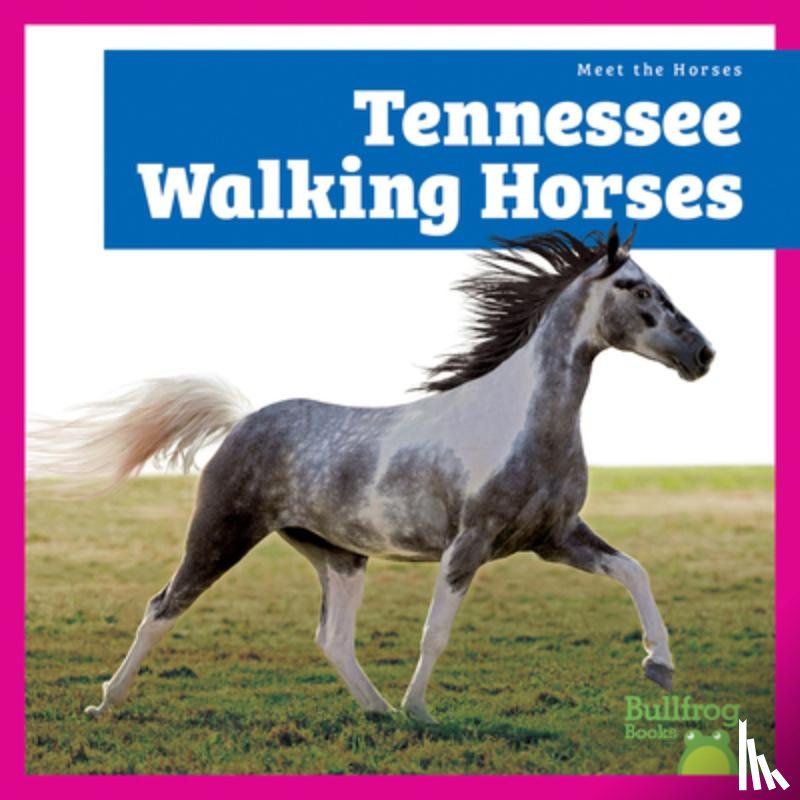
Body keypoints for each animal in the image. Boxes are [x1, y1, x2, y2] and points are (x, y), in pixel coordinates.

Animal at [38, 224, 715, 724]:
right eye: (636, 287)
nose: (703, 354)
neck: (522, 424)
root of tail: (241, 421)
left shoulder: (554, 538)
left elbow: (634, 570)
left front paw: (659, 665)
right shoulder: (470, 543)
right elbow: (435, 632)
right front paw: (422, 712)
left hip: (338, 555)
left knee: (332, 638)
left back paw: (379, 711)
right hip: (221, 533)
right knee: (162, 606)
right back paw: (105, 703)